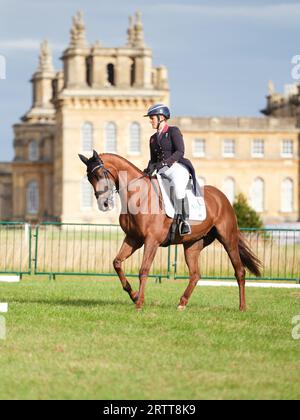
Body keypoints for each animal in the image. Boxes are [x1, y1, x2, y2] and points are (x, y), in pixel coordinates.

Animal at [78, 152, 262, 312]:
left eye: (101, 173)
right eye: (89, 178)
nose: (104, 204)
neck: (138, 196)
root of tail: (222, 198)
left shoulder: (151, 241)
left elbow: (144, 270)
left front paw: (139, 303)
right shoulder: (133, 239)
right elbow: (117, 263)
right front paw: (134, 295)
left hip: (228, 239)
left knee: (239, 271)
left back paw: (242, 307)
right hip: (192, 245)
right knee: (195, 274)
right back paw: (182, 303)